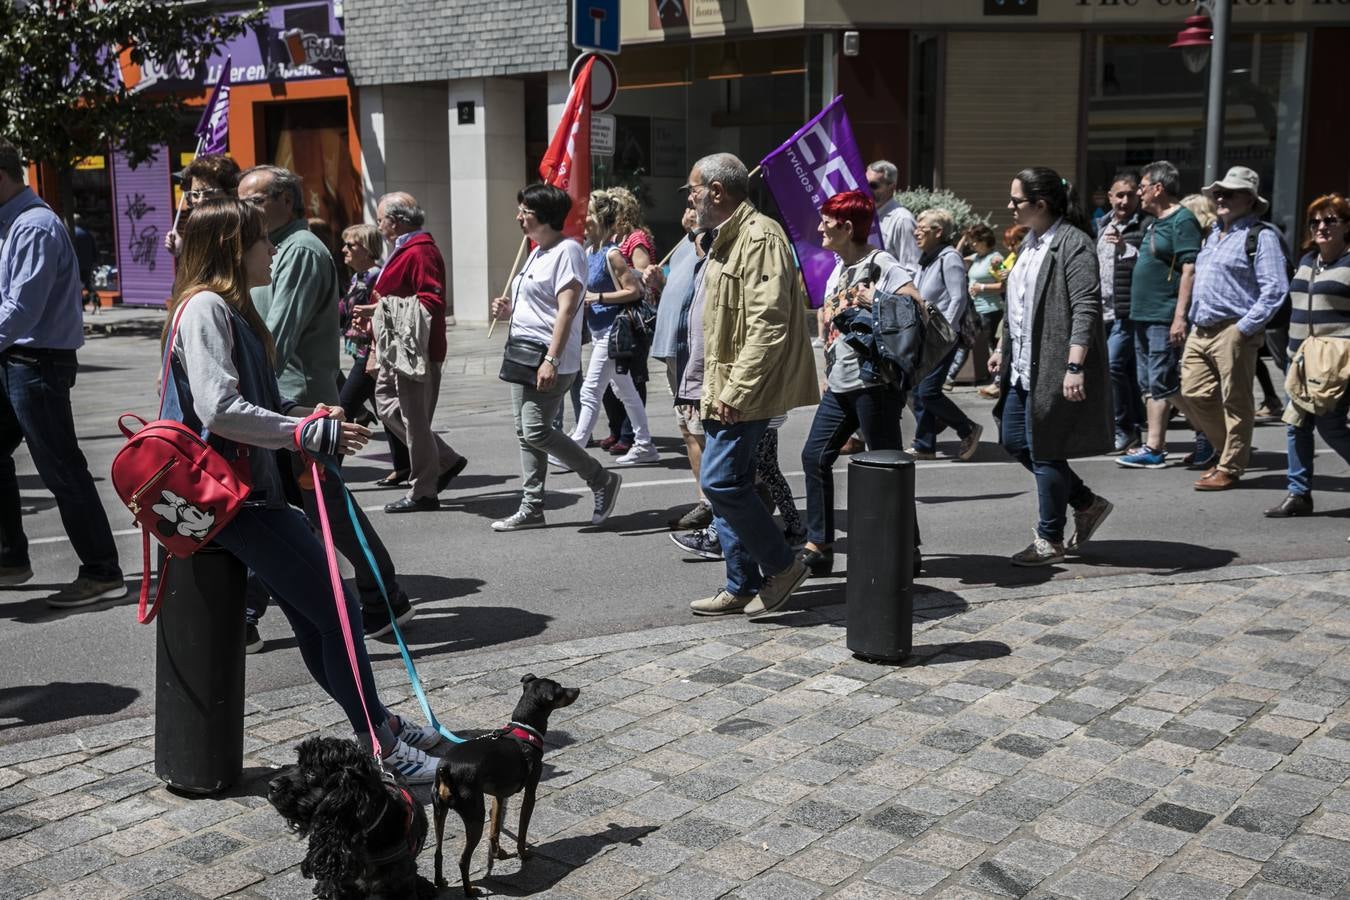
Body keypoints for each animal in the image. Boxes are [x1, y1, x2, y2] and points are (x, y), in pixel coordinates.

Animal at [434, 674, 577, 895]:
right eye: (561, 690)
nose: (577, 690)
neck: (525, 730)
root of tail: (447, 770)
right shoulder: (530, 792)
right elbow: (522, 830)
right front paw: (523, 854)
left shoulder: (499, 796)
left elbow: (495, 827)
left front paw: (498, 853)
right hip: (475, 817)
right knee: (463, 860)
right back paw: (470, 890)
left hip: (439, 812)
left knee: (438, 852)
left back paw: (440, 882)